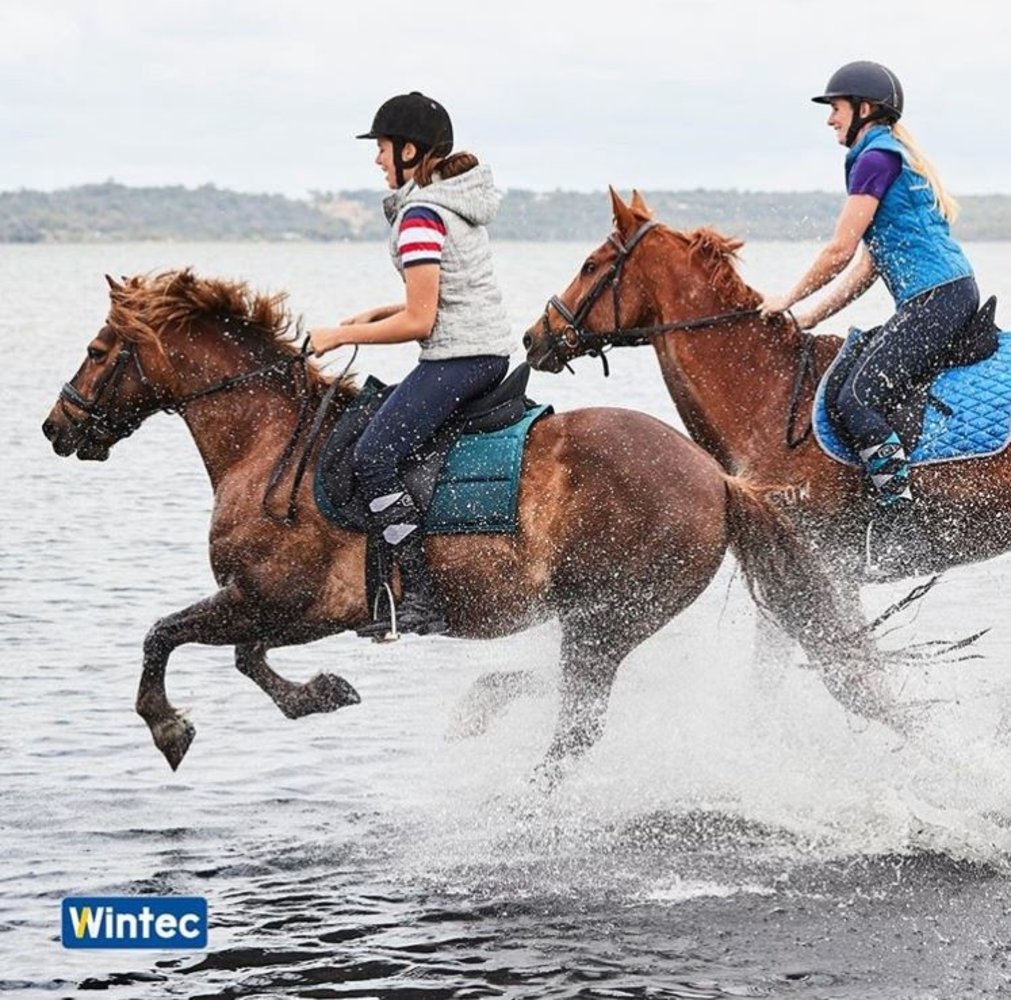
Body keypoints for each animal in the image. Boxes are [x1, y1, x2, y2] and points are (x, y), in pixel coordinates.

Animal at [41, 268, 872, 774]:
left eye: (97, 350)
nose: (56, 427)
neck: (268, 443)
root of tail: (716, 477)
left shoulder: (283, 600)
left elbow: (164, 634)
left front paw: (168, 727)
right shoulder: (286, 609)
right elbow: (244, 656)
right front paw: (320, 694)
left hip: (607, 615)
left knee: (575, 726)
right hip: (602, 617)